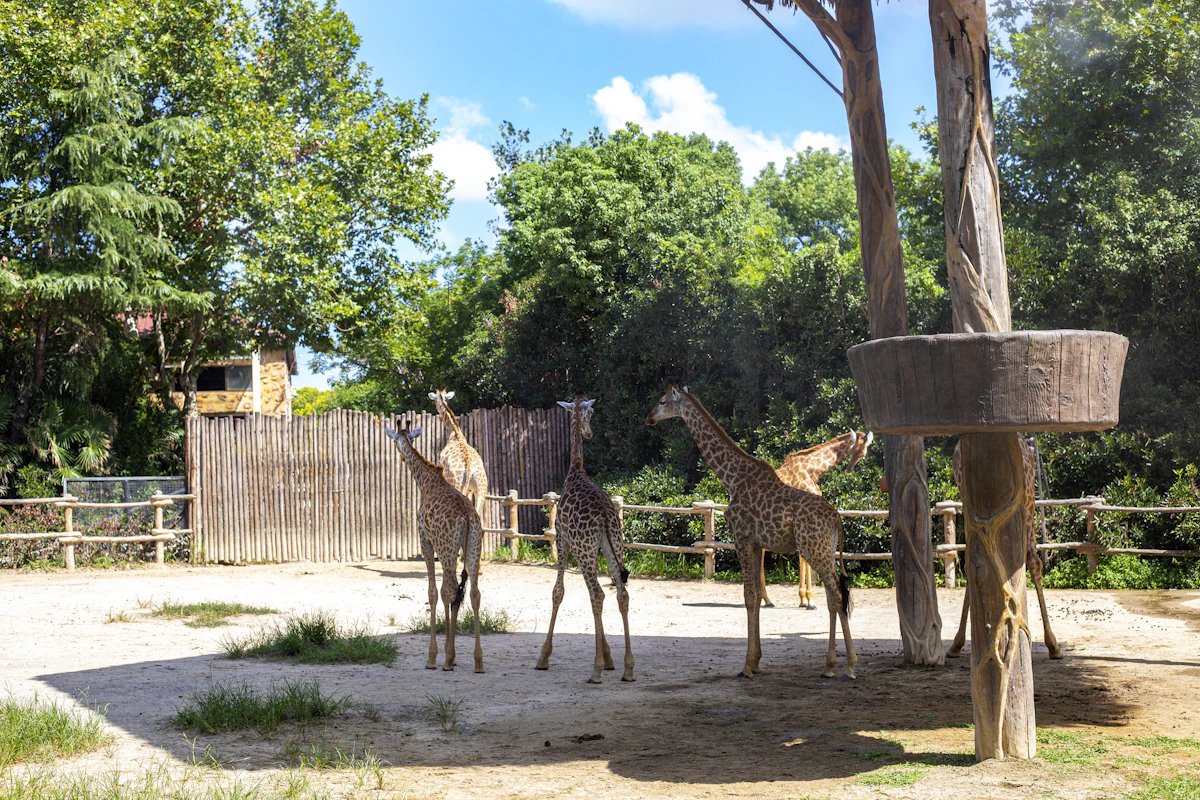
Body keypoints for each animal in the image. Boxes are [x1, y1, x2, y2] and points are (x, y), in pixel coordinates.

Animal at [385, 423, 485, 673]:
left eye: (395, 440)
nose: (401, 456)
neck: (426, 481)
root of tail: (467, 517)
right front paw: (453, 654)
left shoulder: (426, 539)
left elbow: (432, 593)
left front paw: (434, 656)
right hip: (473, 546)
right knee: (474, 593)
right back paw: (478, 661)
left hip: (448, 547)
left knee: (450, 589)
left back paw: (447, 659)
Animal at [428, 389, 488, 522]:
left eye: (434, 401)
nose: (438, 413)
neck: (455, 434)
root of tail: (469, 468)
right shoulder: (470, 490)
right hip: (481, 489)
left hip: (456, 484)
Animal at [536, 395, 635, 684]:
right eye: (589, 414)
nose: (589, 432)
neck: (576, 470)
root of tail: (604, 514)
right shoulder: (591, 547)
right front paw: (611, 658)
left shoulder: (563, 540)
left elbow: (558, 592)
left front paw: (543, 657)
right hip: (613, 544)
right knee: (621, 594)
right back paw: (628, 669)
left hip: (585, 548)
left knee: (598, 594)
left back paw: (596, 670)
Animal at [647, 385, 856, 679]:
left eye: (663, 401)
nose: (649, 418)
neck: (732, 477)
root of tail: (836, 517)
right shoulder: (756, 544)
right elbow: (756, 596)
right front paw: (756, 661)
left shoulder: (741, 538)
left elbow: (747, 597)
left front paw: (746, 666)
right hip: (824, 551)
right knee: (834, 594)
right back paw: (832, 664)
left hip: (815, 550)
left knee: (837, 594)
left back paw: (845, 665)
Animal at [761, 430, 875, 609]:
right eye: (854, 449)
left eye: (863, 453)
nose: (849, 470)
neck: (812, 471)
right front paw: (810, 601)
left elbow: (802, 557)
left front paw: (803, 599)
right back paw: (766, 599)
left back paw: (766, 599)